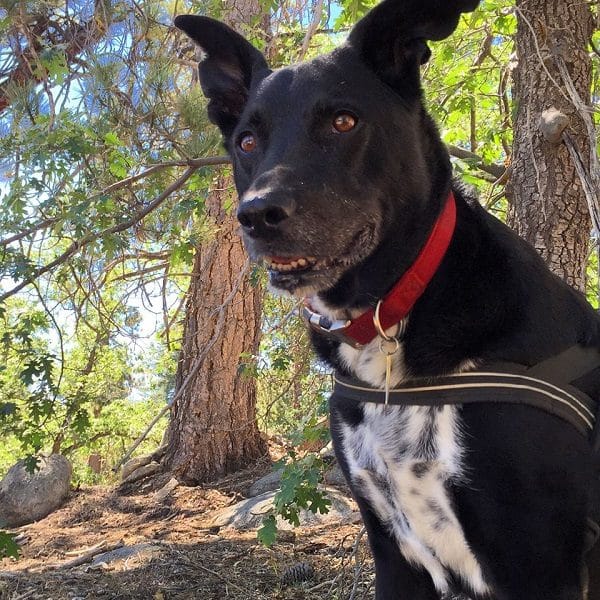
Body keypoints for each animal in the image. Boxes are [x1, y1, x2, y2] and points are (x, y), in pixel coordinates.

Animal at [176, 2, 600, 596]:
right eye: (246, 141)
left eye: (343, 122)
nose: (257, 215)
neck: (390, 320)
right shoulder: (392, 549)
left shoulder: (537, 561)